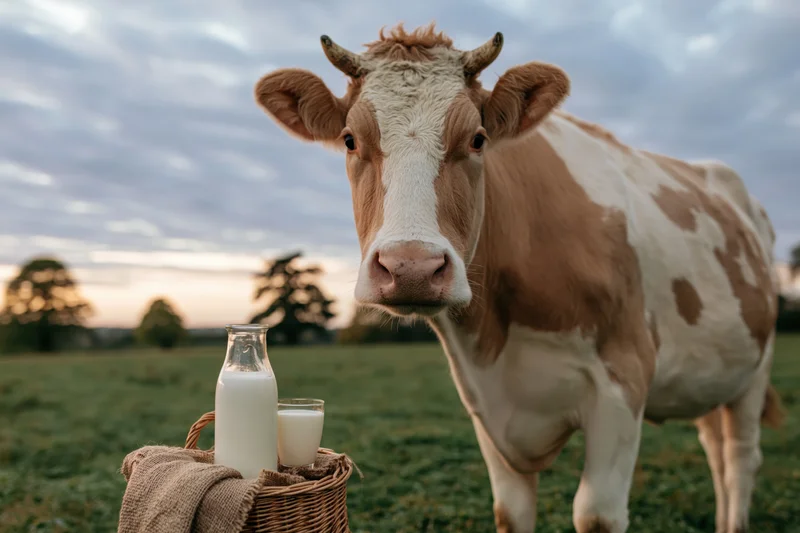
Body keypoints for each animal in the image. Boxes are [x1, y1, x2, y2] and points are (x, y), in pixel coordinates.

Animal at [252, 24, 785, 533]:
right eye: (349, 139)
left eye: (477, 138)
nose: (411, 267)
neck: (499, 338)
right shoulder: (486, 405)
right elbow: (510, 511)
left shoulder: (623, 377)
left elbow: (596, 513)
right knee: (715, 450)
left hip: (755, 368)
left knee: (740, 458)